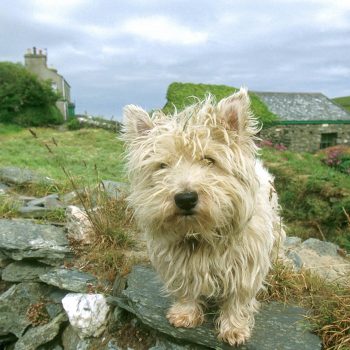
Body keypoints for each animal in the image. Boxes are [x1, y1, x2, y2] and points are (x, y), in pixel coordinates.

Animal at [122, 89, 284, 346]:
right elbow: (186, 288)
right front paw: (185, 313)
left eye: (209, 160)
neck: (201, 232)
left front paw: (234, 328)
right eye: (162, 165)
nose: (185, 198)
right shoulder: (178, 262)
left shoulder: (246, 264)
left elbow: (238, 298)